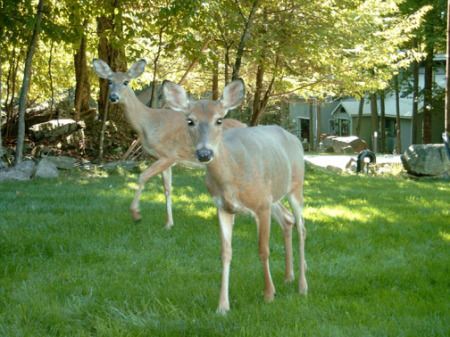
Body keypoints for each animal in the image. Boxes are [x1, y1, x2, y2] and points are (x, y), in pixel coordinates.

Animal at [91, 59, 246, 228]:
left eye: (126, 82)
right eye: (110, 81)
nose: (113, 97)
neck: (149, 123)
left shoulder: (168, 155)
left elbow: (143, 176)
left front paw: (136, 214)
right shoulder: (165, 160)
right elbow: (167, 189)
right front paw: (169, 223)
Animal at [163, 77, 308, 312]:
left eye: (219, 120)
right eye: (190, 121)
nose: (204, 153)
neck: (232, 178)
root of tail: (294, 138)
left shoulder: (261, 206)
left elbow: (263, 250)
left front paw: (269, 294)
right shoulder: (223, 207)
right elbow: (226, 253)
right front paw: (222, 305)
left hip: (296, 185)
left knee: (301, 227)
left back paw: (302, 286)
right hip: (273, 194)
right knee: (287, 220)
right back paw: (289, 277)